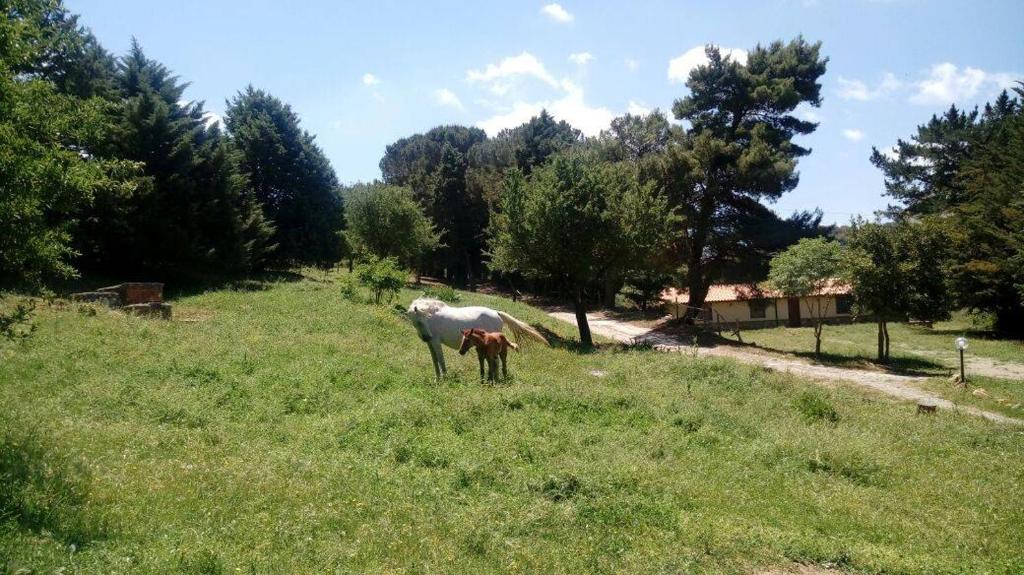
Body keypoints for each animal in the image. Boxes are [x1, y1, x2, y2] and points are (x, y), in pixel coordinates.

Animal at [409, 294, 552, 376]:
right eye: (419, 321)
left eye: (425, 320)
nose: (427, 337)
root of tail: (496, 312)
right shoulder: (430, 344)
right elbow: (435, 361)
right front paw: (437, 379)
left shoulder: (436, 342)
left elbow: (441, 360)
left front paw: (444, 378)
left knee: (496, 362)